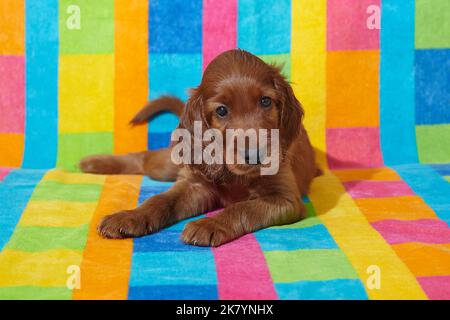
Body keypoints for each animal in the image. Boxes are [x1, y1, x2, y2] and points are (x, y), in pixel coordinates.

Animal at [80, 48, 320, 246]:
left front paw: (210, 224)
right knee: (145, 158)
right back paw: (93, 162)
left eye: (266, 101)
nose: (255, 156)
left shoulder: (285, 199)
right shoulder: (196, 185)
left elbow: (242, 208)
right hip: (172, 165)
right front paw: (129, 216)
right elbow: (160, 200)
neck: (235, 175)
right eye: (221, 110)